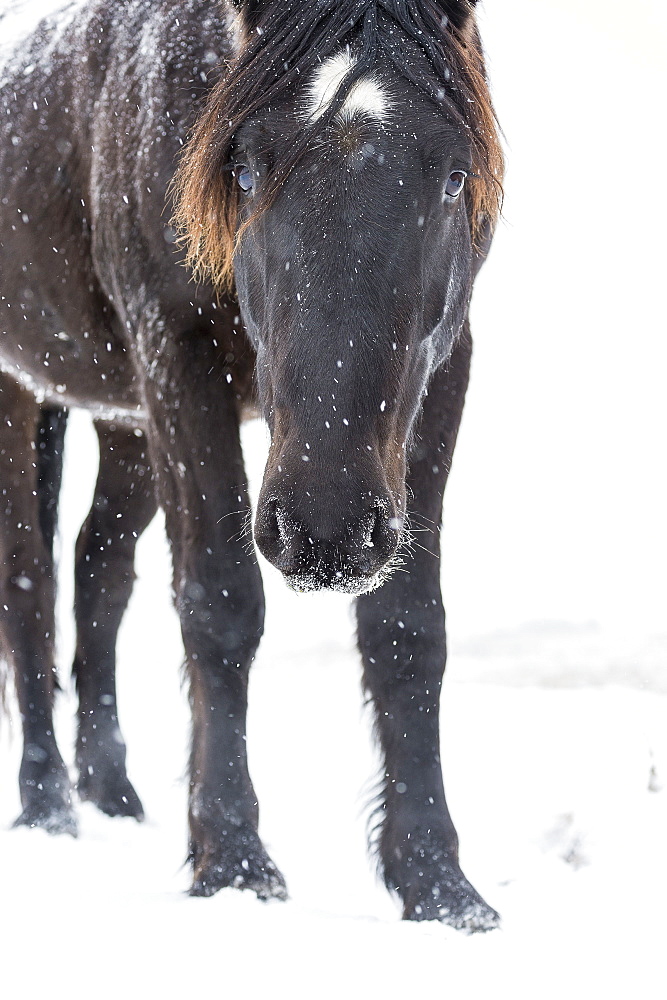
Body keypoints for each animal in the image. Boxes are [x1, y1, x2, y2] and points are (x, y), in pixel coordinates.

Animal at [0, 0, 500, 928]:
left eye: (453, 177)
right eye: (241, 168)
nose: (326, 532)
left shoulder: (441, 372)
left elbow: (408, 627)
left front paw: (437, 884)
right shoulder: (177, 356)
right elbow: (219, 605)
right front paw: (232, 862)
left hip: (128, 426)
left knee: (97, 569)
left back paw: (112, 792)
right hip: (25, 396)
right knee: (29, 585)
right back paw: (48, 806)